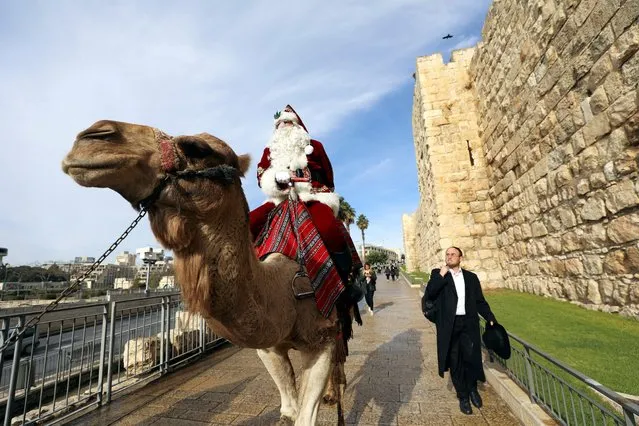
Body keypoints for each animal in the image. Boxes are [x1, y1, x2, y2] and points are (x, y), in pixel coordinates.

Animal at [62, 119, 352, 422]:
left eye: (197, 148)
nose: (94, 135)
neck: (285, 289)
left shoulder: (321, 338)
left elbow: (306, 414)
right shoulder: (269, 347)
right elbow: (289, 410)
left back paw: (335, 392)